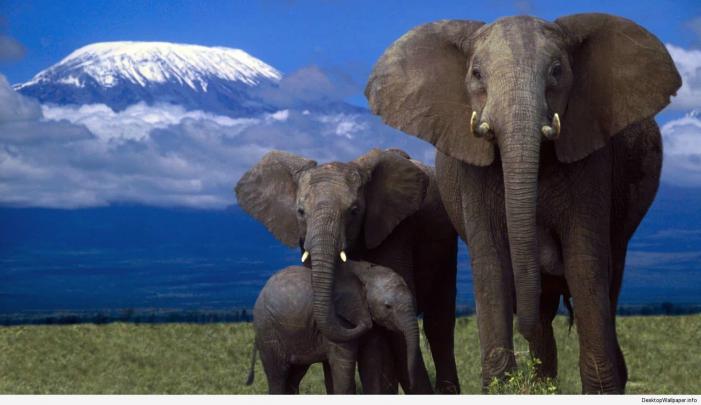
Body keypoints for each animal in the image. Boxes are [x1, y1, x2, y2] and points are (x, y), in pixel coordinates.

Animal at [246, 260, 422, 394]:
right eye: (388, 306)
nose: (412, 384)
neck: (366, 272)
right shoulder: (340, 319)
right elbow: (344, 364)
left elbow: (371, 360)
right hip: (267, 331)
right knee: (278, 374)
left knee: (294, 375)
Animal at [365, 14, 681, 393]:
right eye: (476, 74)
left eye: (557, 70)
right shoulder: (473, 172)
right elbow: (491, 263)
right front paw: (503, 385)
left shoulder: (591, 157)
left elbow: (584, 261)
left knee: (608, 281)